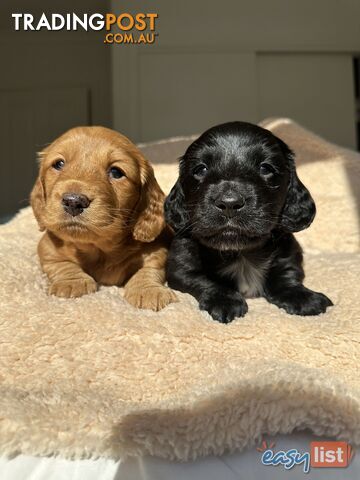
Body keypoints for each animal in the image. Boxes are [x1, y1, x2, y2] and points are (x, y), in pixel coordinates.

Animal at [31, 125, 177, 310]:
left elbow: (150, 267)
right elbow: (59, 263)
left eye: (116, 172)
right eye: (59, 164)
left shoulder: (158, 247)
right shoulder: (48, 247)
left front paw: (148, 290)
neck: (98, 248)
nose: (74, 201)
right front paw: (72, 282)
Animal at [164, 121, 332, 322]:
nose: (229, 203)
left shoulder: (288, 254)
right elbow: (202, 279)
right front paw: (226, 302)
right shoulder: (180, 266)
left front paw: (304, 298)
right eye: (200, 169)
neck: (241, 253)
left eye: (266, 168)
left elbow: (287, 275)